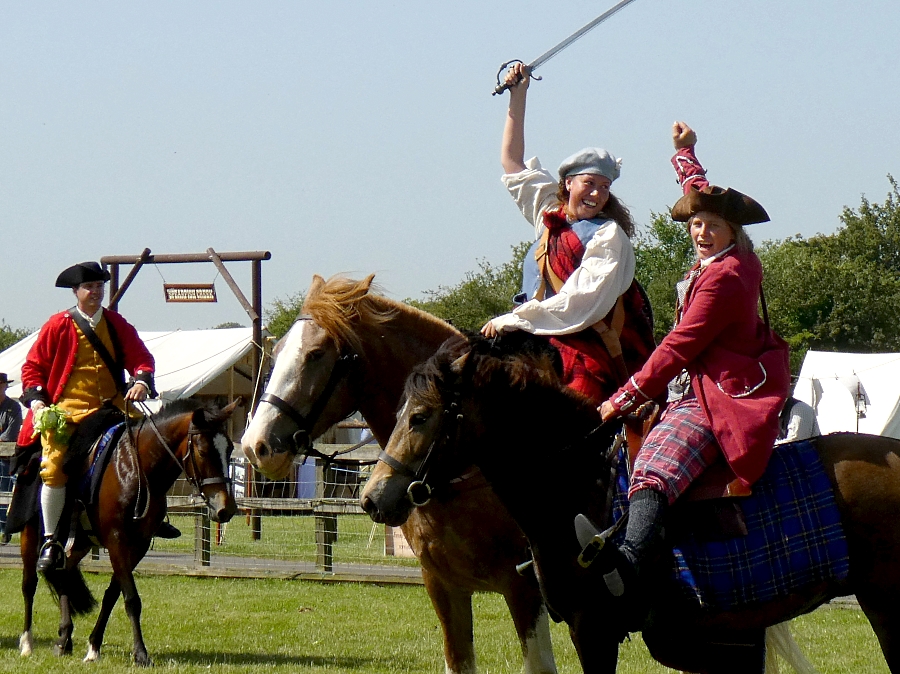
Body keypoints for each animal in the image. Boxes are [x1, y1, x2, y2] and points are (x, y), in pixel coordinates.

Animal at [17, 396, 239, 664]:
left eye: (230, 449)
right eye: (203, 451)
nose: (226, 509)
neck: (137, 469)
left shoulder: (137, 545)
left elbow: (113, 595)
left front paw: (94, 647)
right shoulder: (117, 541)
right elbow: (132, 598)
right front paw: (141, 653)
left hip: (81, 541)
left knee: (65, 573)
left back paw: (64, 638)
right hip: (30, 536)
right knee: (29, 584)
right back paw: (27, 643)